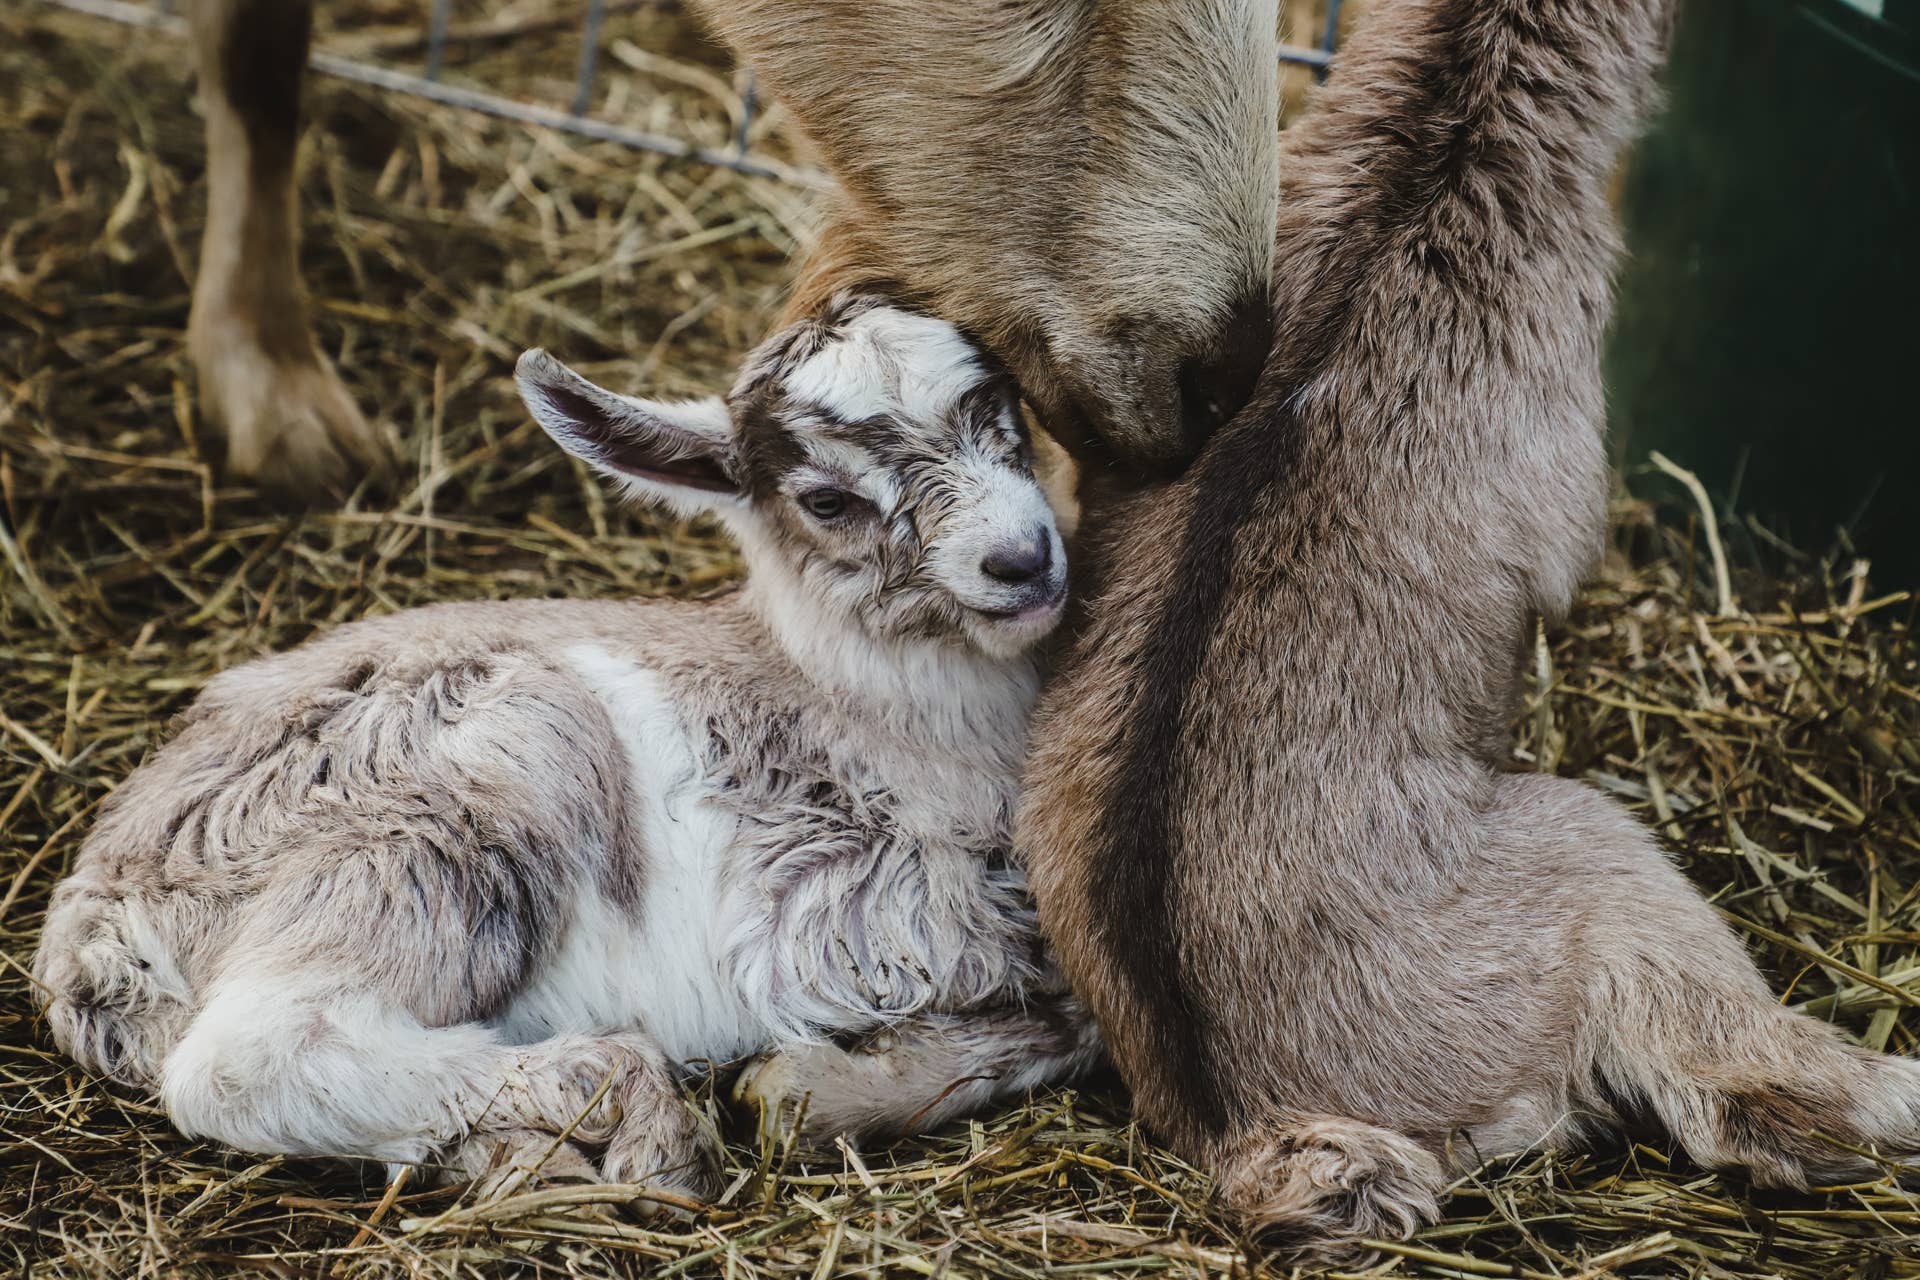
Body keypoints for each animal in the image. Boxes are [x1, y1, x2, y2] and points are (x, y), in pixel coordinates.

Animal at [33, 293, 1098, 1193]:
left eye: (1001, 406)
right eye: (827, 499)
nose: (1020, 560)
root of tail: (95, 929)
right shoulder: (831, 909)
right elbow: (1072, 1012)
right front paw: (798, 1090)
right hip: (455, 811)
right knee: (246, 1059)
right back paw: (643, 1129)